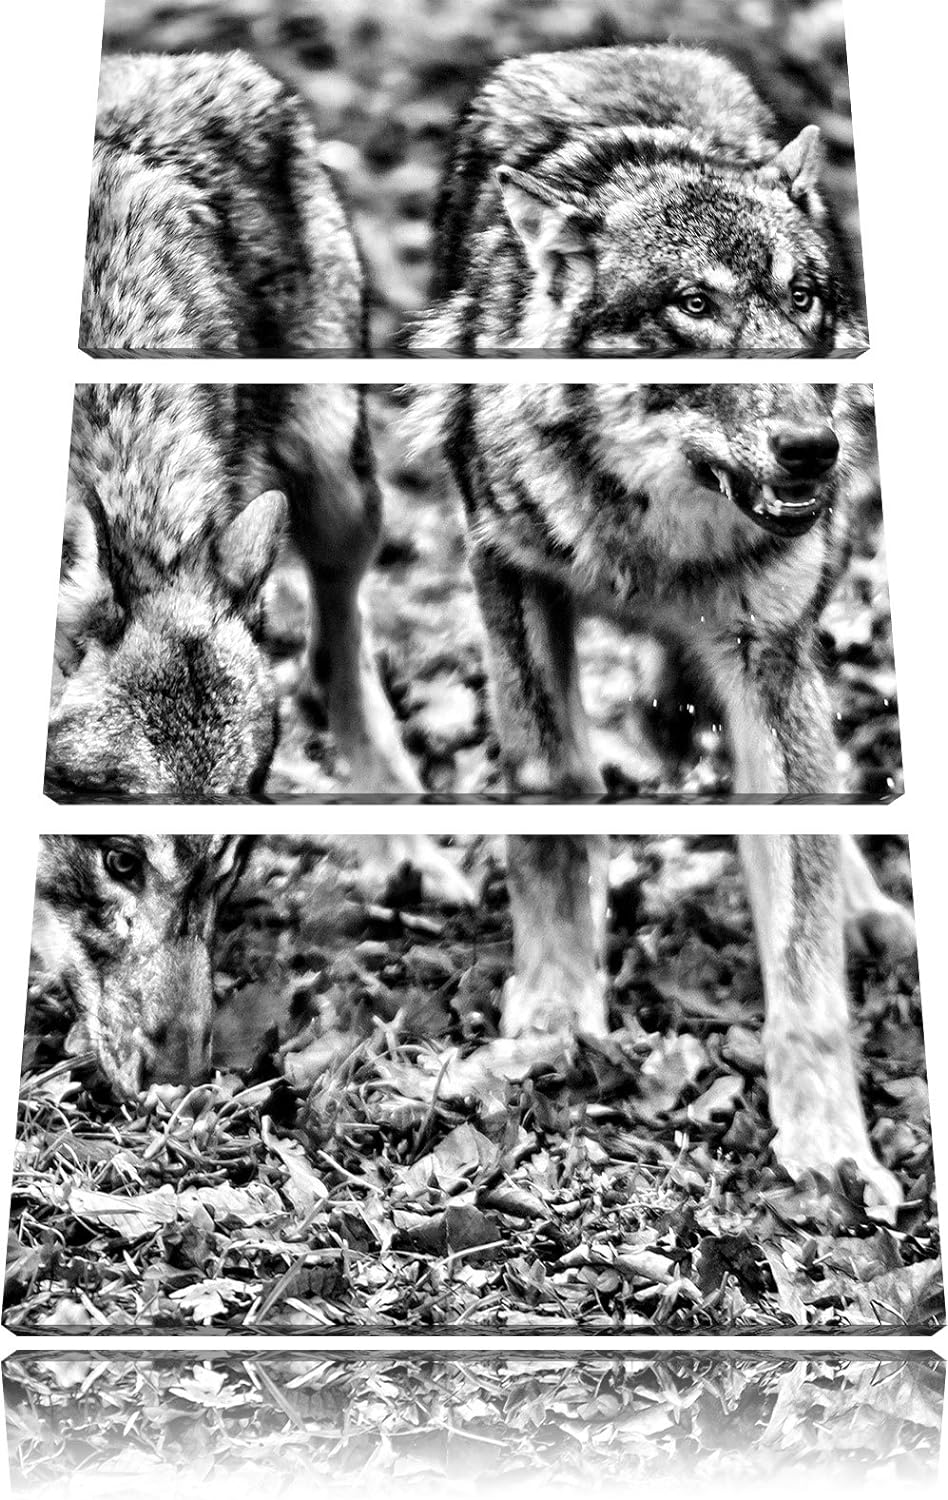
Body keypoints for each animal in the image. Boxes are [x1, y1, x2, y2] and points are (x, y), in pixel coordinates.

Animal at [421, 380, 911, 1211]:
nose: (810, 448)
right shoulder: (507, 558)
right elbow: (552, 800)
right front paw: (553, 1015)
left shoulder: (770, 641)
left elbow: (802, 932)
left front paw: (831, 1147)